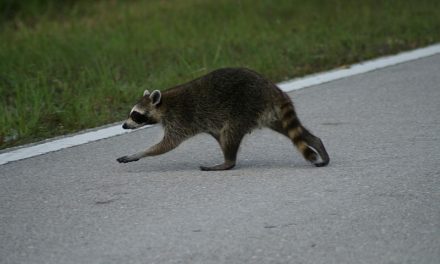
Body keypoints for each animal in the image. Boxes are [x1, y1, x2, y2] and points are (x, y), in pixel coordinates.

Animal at [115, 67, 328, 171]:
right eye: (130, 113)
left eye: (136, 115)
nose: (124, 125)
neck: (164, 104)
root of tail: (271, 87)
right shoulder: (206, 123)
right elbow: (217, 135)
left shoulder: (179, 119)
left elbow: (168, 144)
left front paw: (139, 153)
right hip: (266, 112)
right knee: (289, 129)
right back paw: (316, 142)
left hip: (245, 106)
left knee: (231, 132)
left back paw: (228, 162)